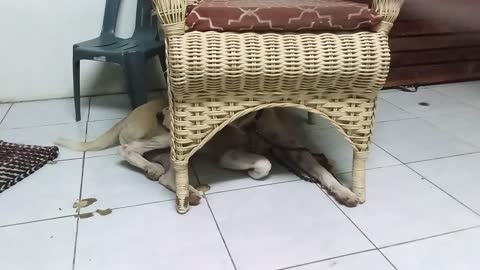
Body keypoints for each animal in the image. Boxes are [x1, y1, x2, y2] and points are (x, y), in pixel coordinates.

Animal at [56, 99, 358, 207]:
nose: (160, 115)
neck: (252, 123)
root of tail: (129, 114)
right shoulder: (228, 153)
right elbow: (264, 164)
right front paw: (255, 169)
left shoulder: (295, 149)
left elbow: (320, 169)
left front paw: (342, 190)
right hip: (172, 138)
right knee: (127, 149)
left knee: (167, 177)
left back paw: (178, 185)